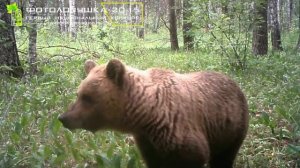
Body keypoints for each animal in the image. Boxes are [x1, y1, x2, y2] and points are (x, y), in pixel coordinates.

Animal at [58, 59, 248, 168]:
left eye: (87, 97)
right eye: (78, 94)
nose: (63, 118)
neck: (148, 115)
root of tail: (233, 81)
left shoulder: (181, 133)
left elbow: (194, 155)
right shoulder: (149, 143)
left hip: (232, 128)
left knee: (224, 158)